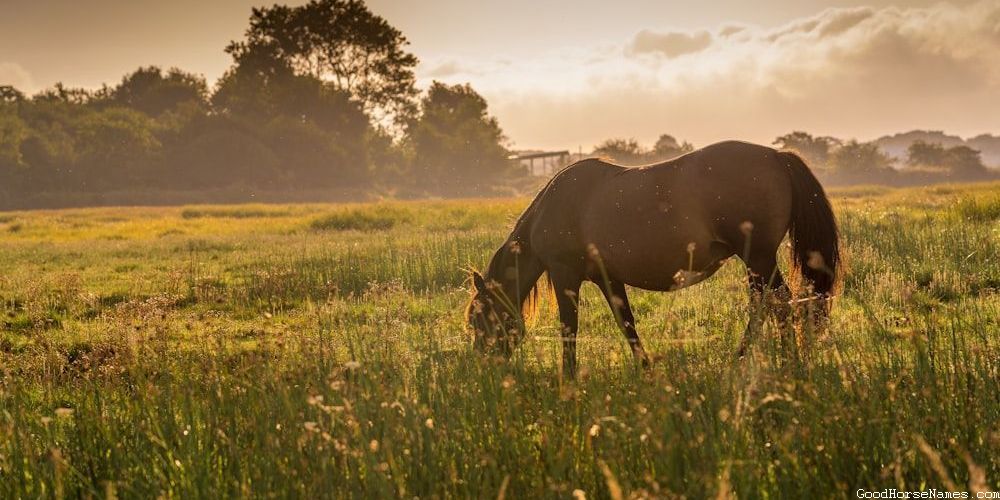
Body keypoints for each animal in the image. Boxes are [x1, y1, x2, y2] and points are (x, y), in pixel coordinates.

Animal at [466, 140, 840, 378]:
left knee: (778, 304)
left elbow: (569, 328)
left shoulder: (564, 275)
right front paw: (646, 368)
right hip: (758, 262)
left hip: (758, 258)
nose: (484, 366)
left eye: (478, 319)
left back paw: (775, 360)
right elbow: (626, 322)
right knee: (769, 304)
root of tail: (776, 156)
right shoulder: (607, 277)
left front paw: (567, 378)